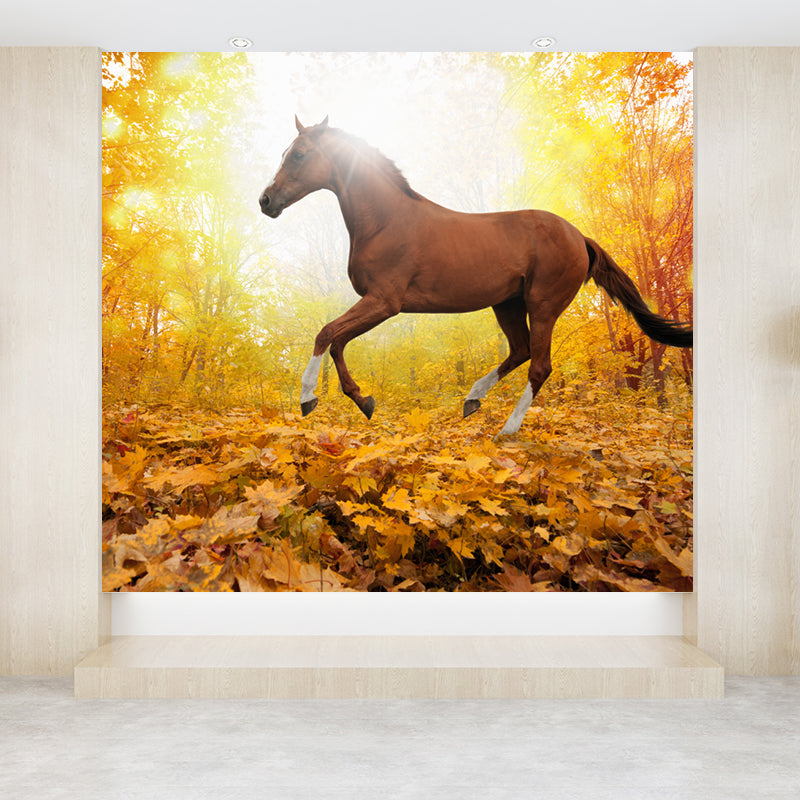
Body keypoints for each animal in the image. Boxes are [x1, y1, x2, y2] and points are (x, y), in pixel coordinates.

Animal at [259, 116, 692, 436]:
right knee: (520, 351)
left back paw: (507, 430)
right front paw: (363, 401)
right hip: (508, 304)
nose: (266, 201)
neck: (385, 221)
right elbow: (337, 341)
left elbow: (327, 334)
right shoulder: (376, 304)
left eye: (299, 155)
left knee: (539, 365)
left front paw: (307, 398)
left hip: (543, 306)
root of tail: (579, 237)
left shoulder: (384, 301)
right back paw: (472, 399)